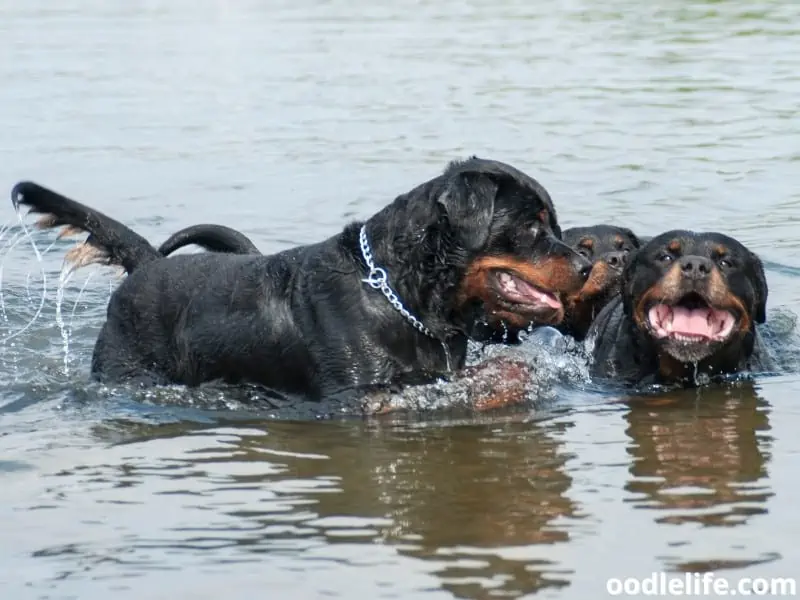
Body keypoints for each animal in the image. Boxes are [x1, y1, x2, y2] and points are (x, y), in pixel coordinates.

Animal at [9, 157, 592, 400]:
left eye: (557, 226)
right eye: (534, 228)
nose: (586, 267)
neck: (400, 294)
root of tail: (149, 264)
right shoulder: (359, 395)